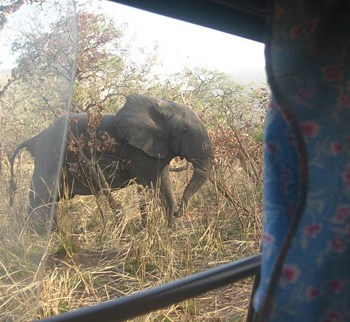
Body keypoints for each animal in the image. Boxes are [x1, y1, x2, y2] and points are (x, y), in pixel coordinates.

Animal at [9, 94, 213, 233]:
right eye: (183, 130)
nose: (180, 211)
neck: (163, 107)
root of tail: (35, 138)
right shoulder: (138, 152)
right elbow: (152, 185)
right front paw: (156, 228)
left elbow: (164, 183)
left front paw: (172, 228)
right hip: (48, 159)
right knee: (42, 196)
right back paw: (41, 235)